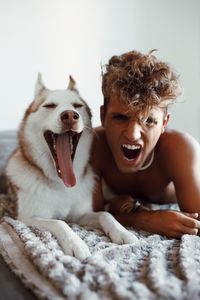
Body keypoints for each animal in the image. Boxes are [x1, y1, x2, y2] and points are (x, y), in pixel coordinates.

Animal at [6, 74, 138, 258]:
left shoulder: (80, 215)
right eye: (49, 105)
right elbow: (59, 223)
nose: (69, 115)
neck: (61, 184)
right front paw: (75, 243)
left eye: (77, 106)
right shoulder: (27, 218)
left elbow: (105, 215)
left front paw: (122, 231)